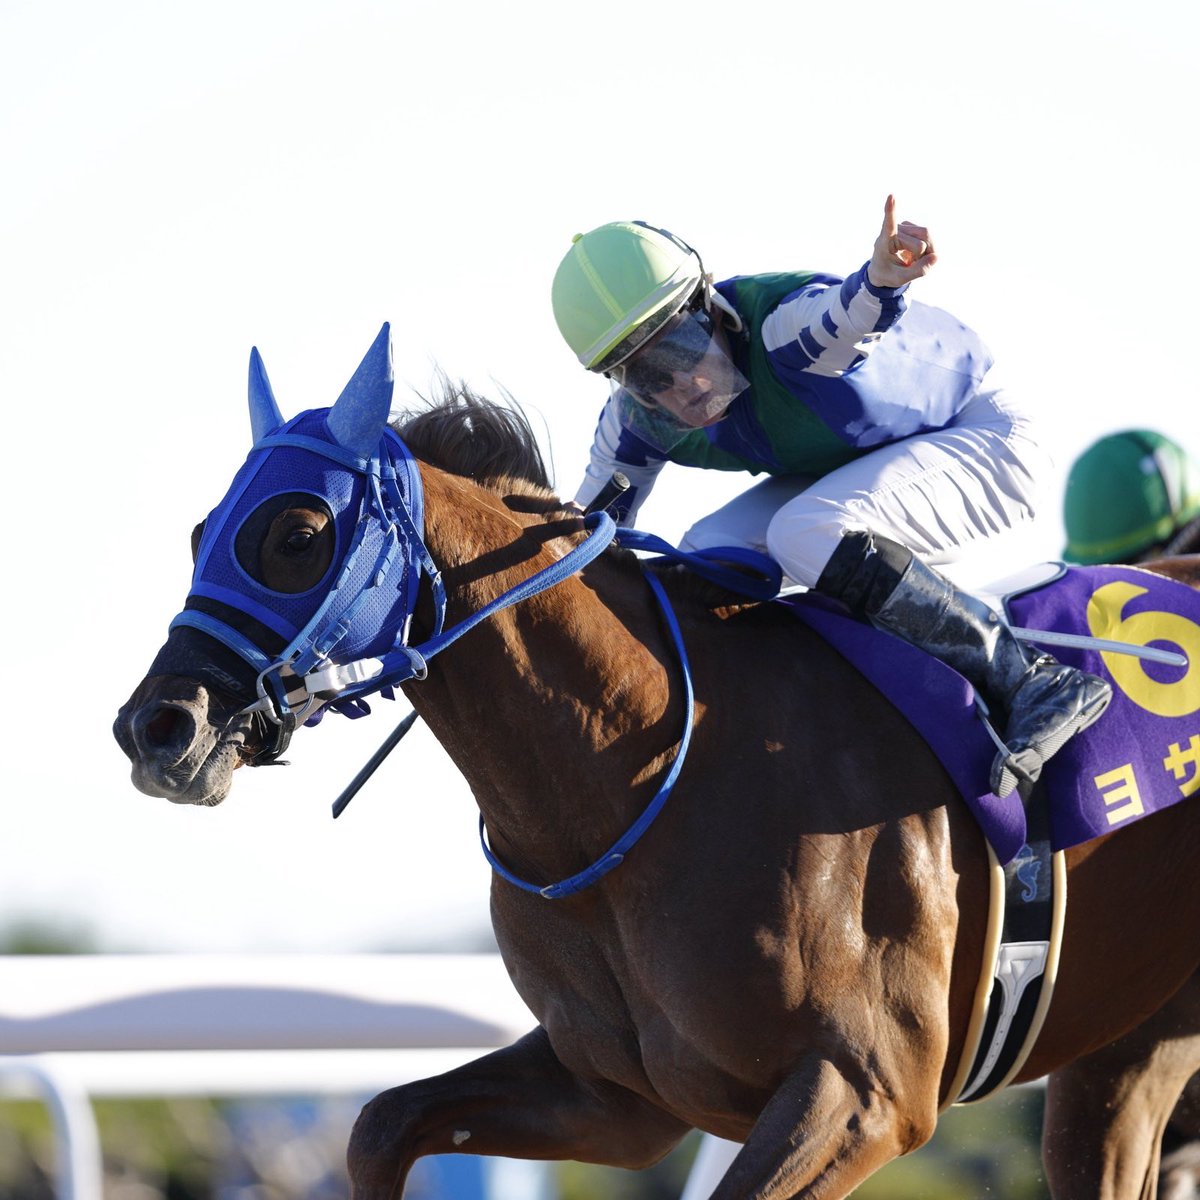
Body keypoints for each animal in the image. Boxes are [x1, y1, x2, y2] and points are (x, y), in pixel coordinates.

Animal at [113, 327, 1200, 1199]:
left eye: (298, 532)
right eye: (201, 531)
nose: (157, 728)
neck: (641, 778)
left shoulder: (868, 1092)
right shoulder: (616, 1094)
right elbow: (380, 1127)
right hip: (1131, 1048)